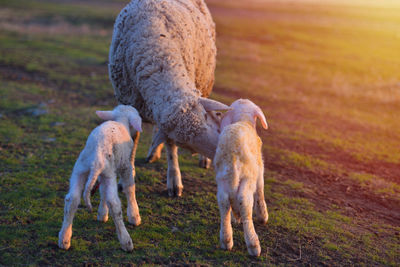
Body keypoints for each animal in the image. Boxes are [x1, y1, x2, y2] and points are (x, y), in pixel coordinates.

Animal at [58, 105, 142, 253]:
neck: (121, 121)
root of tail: (97, 157)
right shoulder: (125, 166)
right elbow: (129, 188)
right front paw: (134, 216)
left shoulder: (102, 174)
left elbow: (102, 192)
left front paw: (102, 214)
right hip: (108, 172)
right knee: (114, 203)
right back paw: (126, 241)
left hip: (81, 168)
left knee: (72, 199)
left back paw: (64, 239)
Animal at [108, 0, 228, 197]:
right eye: (185, 142)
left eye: (204, 117)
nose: (220, 152)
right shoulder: (130, 104)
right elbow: (133, 140)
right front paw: (125, 178)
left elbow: (170, 147)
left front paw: (174, 180)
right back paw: (153, 151)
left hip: (205, 79)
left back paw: (202, 160)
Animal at [214, 99, 270, 258]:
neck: (243, 120)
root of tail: (232, 154)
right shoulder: (259, 170)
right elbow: (260, 191)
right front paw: (263, 216)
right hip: (247, 177)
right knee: (244, 203)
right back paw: (253, 245)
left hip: (223, 179)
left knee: (224, 203)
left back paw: (226, 240)